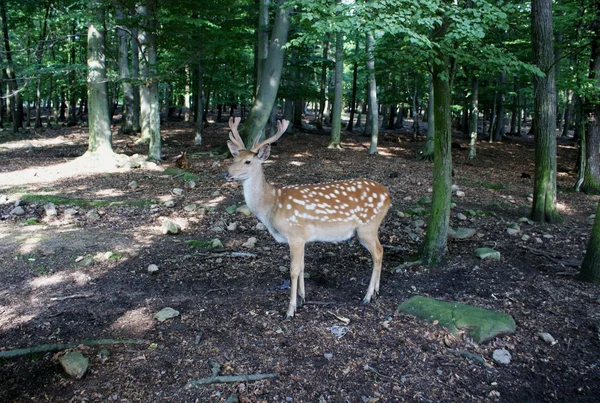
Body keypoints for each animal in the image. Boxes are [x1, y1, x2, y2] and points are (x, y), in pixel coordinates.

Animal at [224, 117, 390, 318]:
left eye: (248, 161)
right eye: (234, 158)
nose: (226, 173)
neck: (272, 206)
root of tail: (388, 195)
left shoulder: (294, 233)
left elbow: (293, 270)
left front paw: (290, 310)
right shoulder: (303, 238)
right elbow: (303, 266)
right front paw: (303, 298)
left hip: (368, 227)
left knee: (378, 253)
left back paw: (367, 296)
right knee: (381, 251)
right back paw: (376, 292)